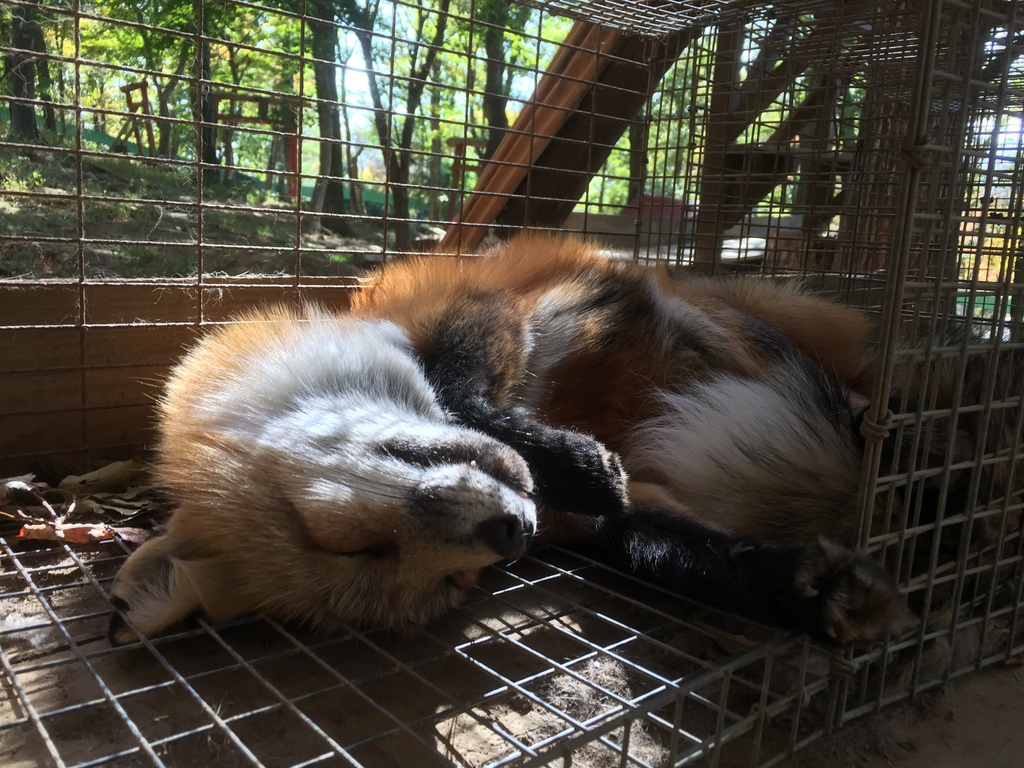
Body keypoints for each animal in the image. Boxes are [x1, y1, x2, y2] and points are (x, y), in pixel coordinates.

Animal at [110, 232, 923, 647]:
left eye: (339, 536)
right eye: (450, 586)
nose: (512, 534)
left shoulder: (509, 302)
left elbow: (457, 389)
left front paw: (574, 462)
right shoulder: (612, 516)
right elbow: (677, 552)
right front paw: (807, 592)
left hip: (790, 321)